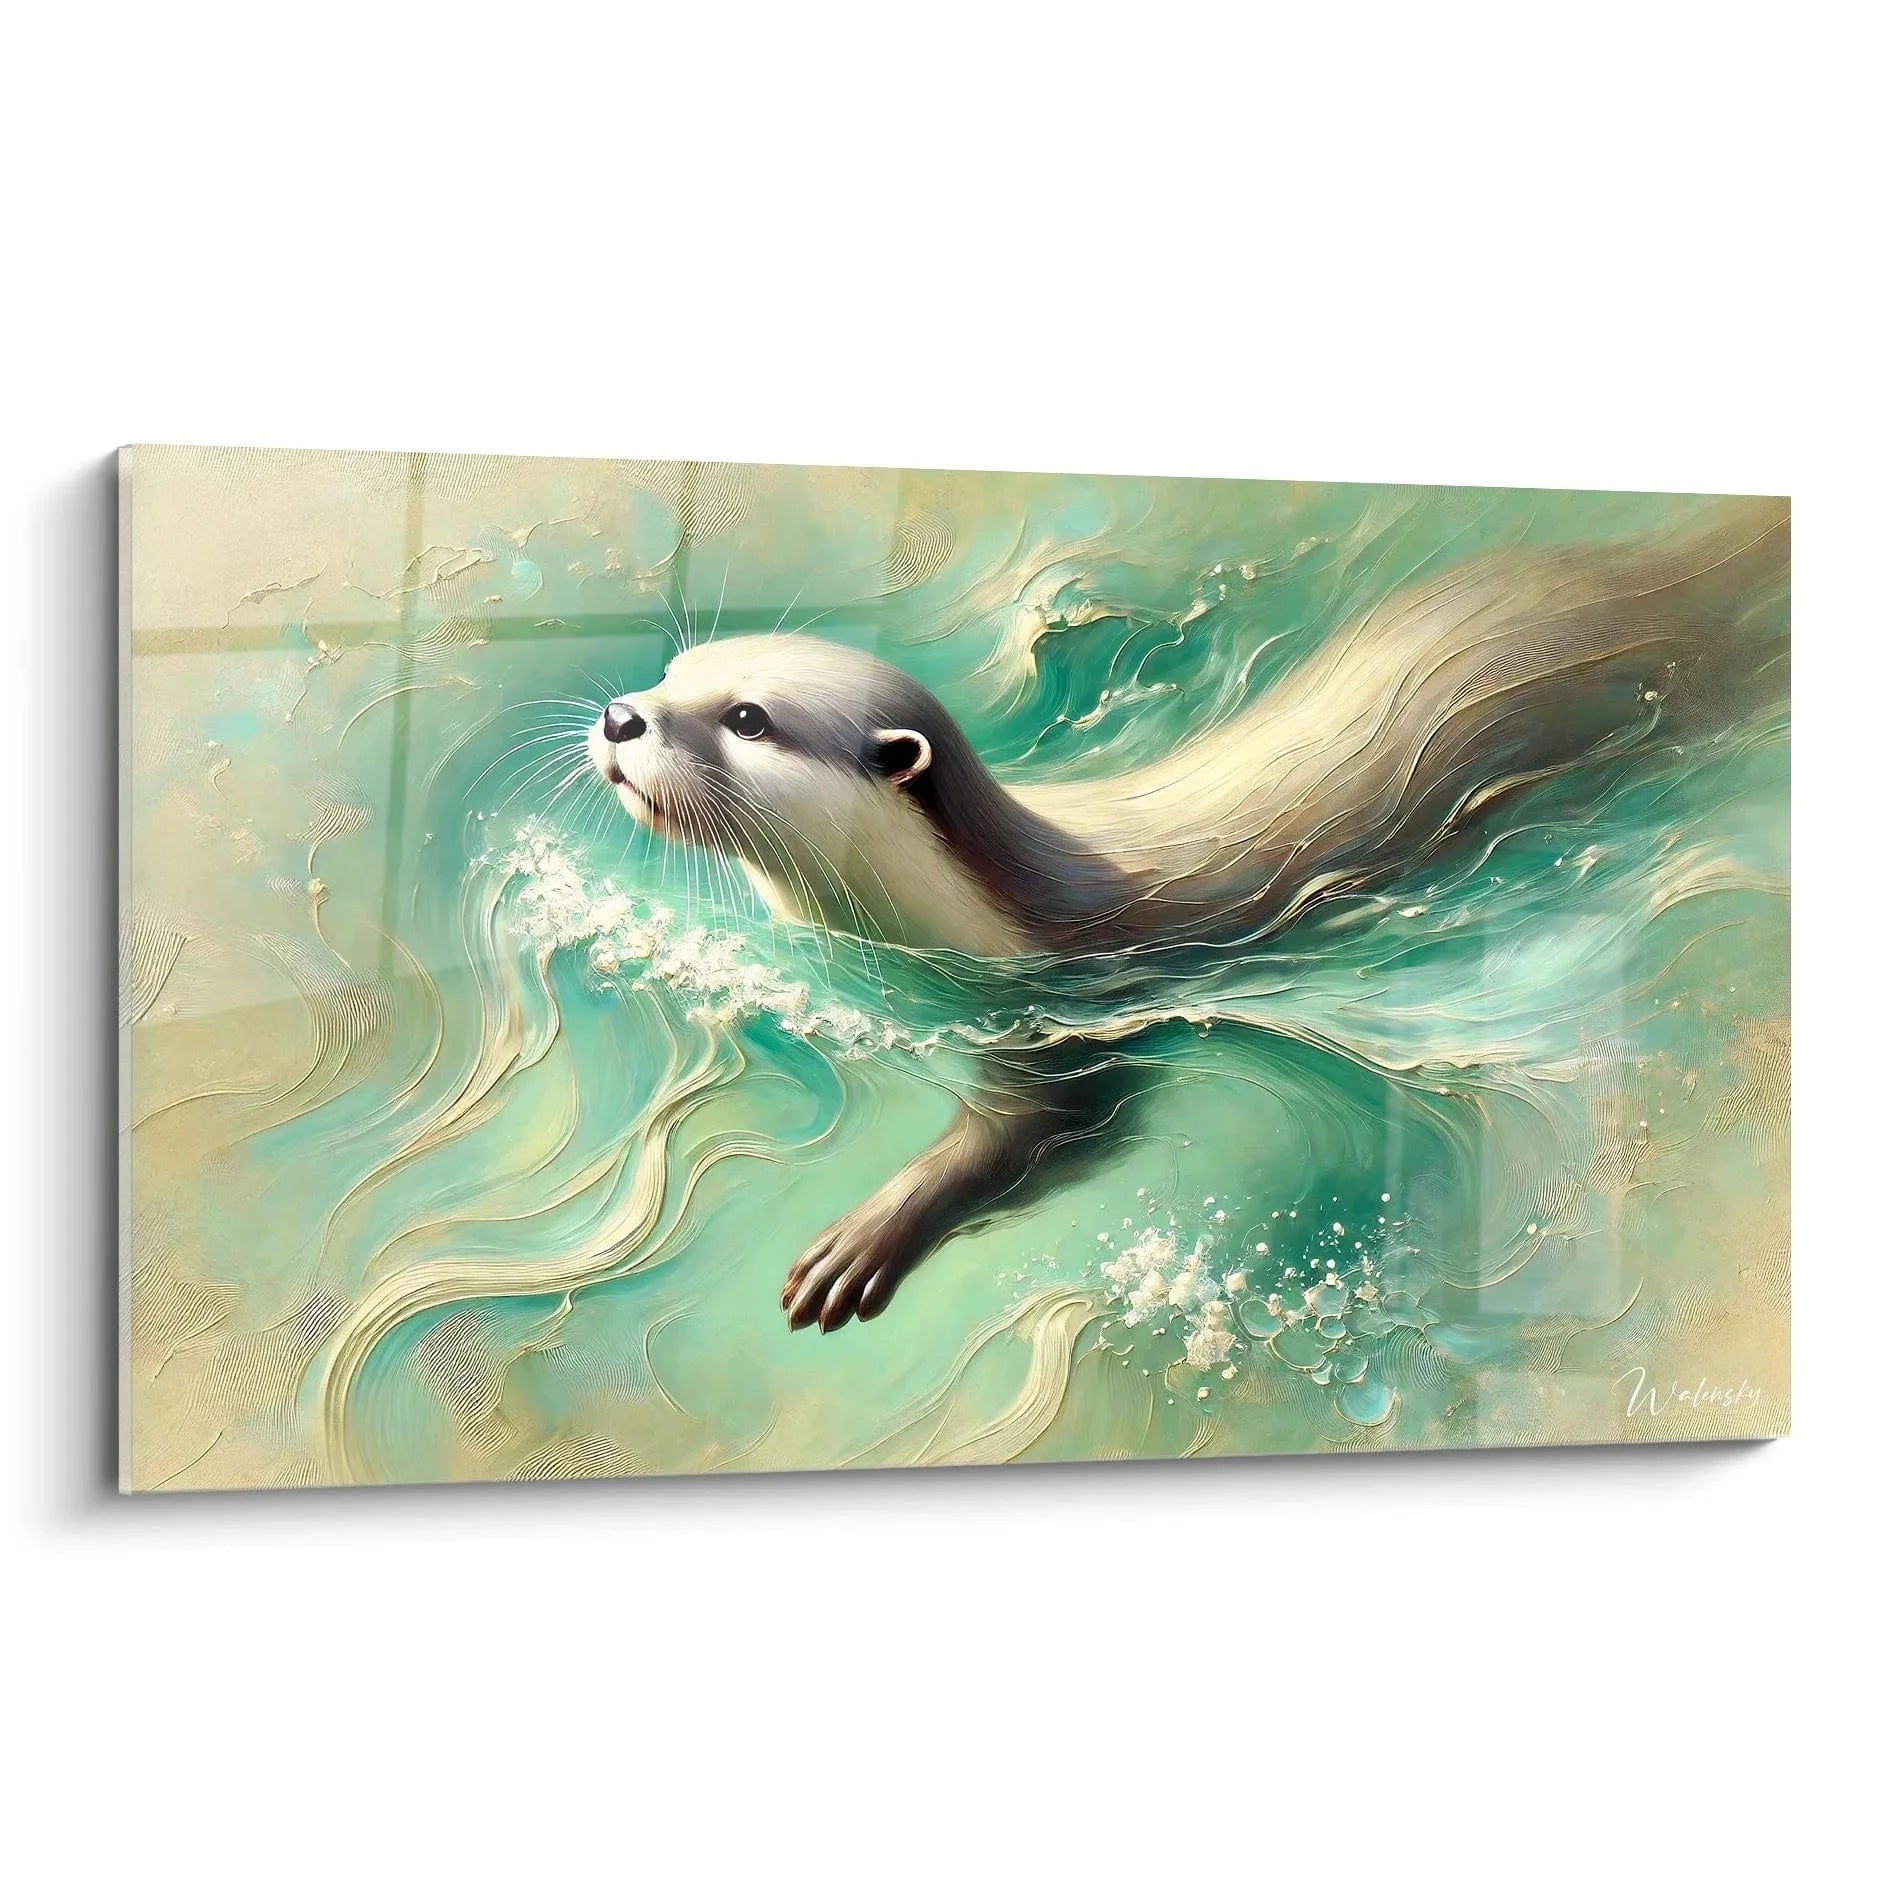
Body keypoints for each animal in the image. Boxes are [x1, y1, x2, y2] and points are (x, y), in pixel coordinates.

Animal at [587, 502, 1787, 1332]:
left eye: (749, 717)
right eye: (676, 670)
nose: (619, 714)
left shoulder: (1066, 1015)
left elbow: (1065, 1129)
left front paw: (869, 1233)